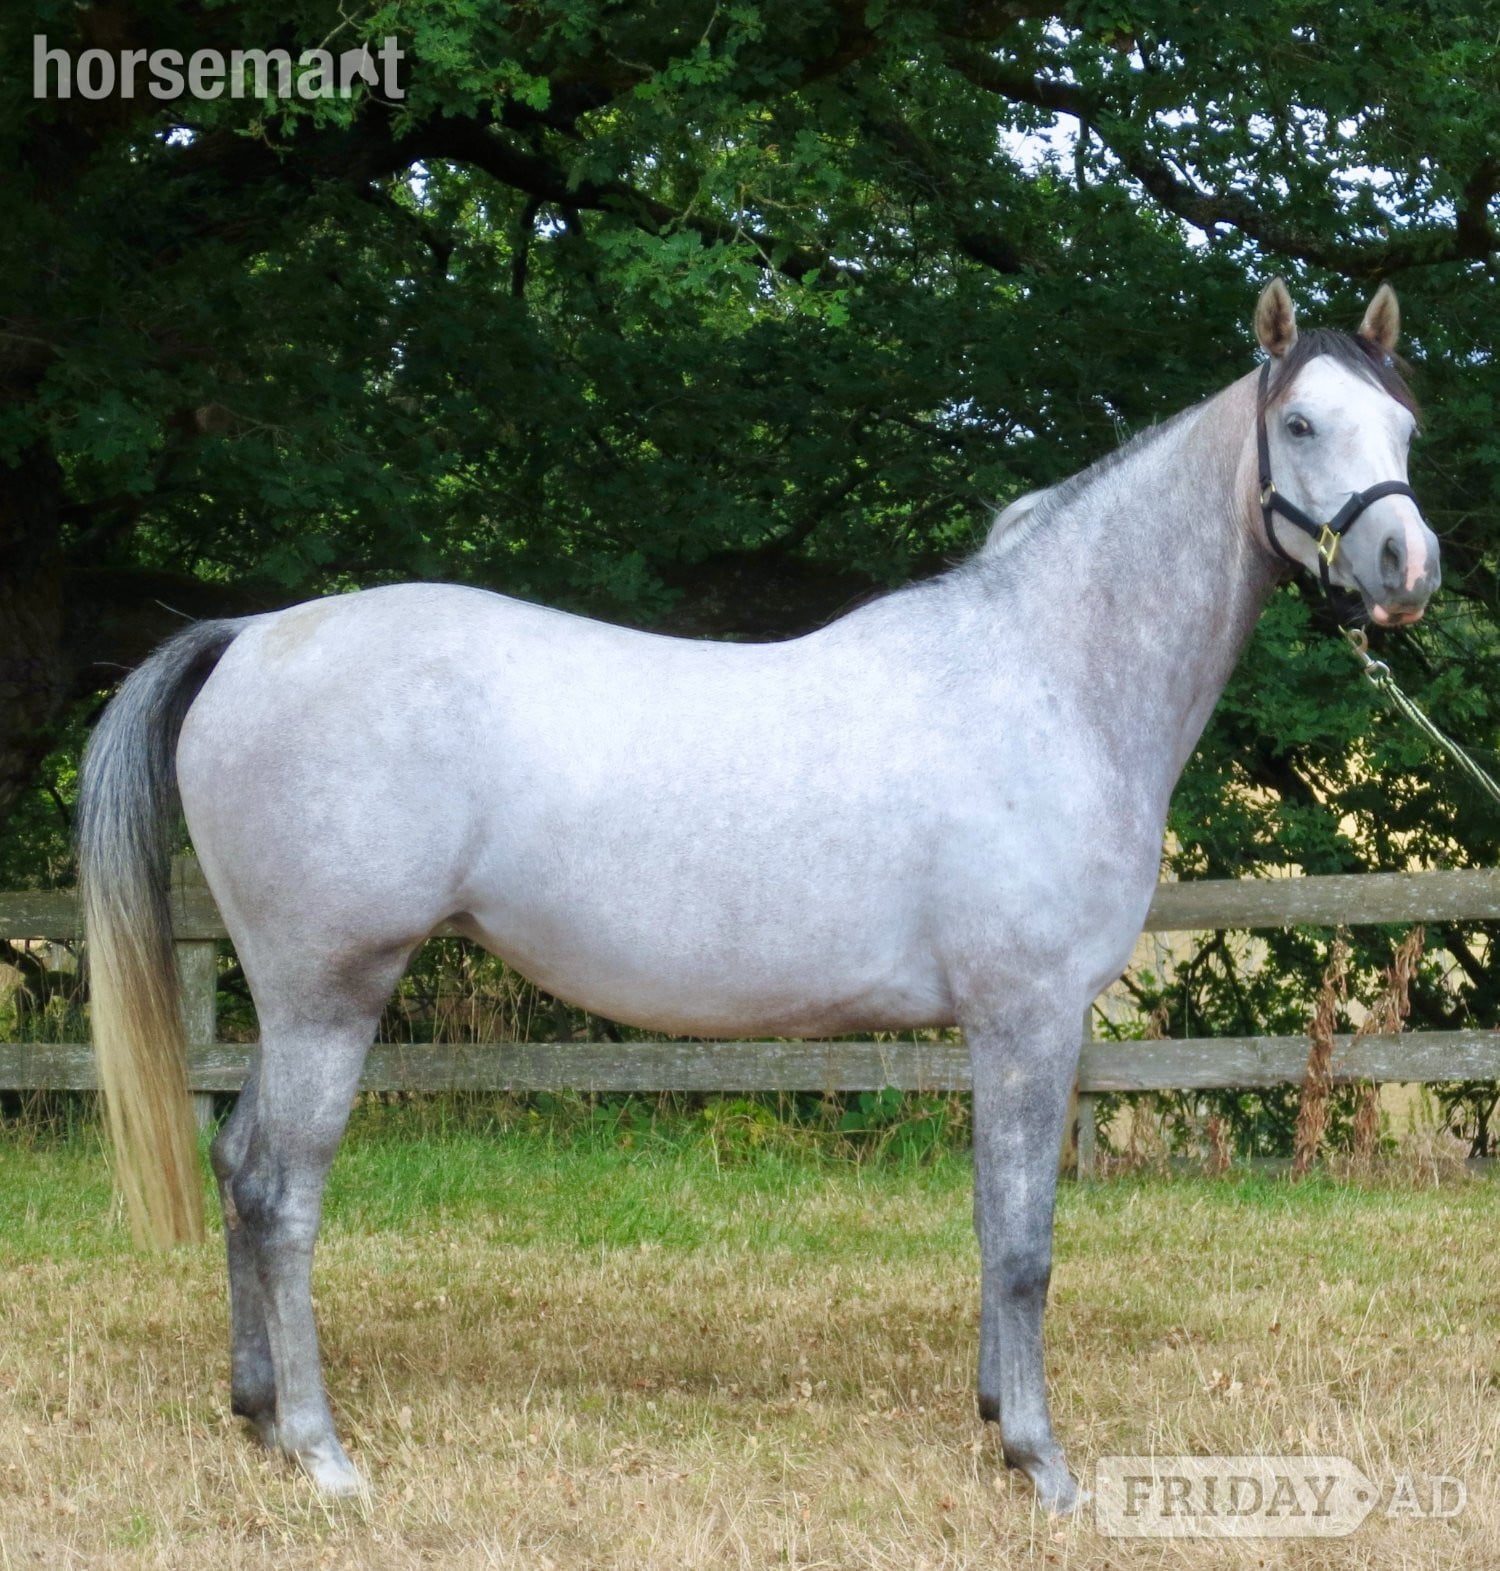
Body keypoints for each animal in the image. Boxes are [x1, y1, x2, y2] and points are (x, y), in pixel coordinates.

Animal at [77, 281, 1439, 1511]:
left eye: (1404, 424)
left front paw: (995, 1411)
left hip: (292, 996)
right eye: (1302, 422)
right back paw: (320, 1451)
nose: (1406, 563)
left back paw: (258, 1413)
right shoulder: (1028, 1017)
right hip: (331, 993)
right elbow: (1024, 1244)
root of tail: (252, 634)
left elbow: (990, 1221)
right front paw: (1038, 1461)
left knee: (237, 1160)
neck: (1048, 675)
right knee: (280, 1191)